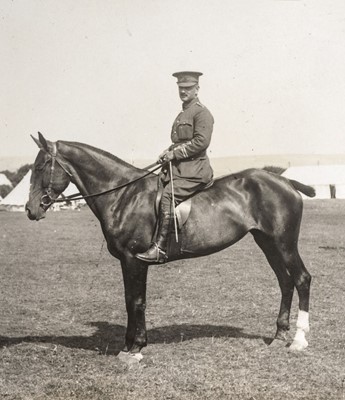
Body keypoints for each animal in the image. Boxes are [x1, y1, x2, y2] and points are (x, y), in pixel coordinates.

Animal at [25, 134, 314, 362]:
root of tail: (286, 182)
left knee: (301, 279)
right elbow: (129, 299)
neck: (123, 195)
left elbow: (137, 301)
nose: (31, 210)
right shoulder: (126, 262)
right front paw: (127, 346)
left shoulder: (135, 260)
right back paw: (279, 336)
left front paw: (136, 348)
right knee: (285, 282)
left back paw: (298, 341)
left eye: (40, 166)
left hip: (284, 243)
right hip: (267, 243)